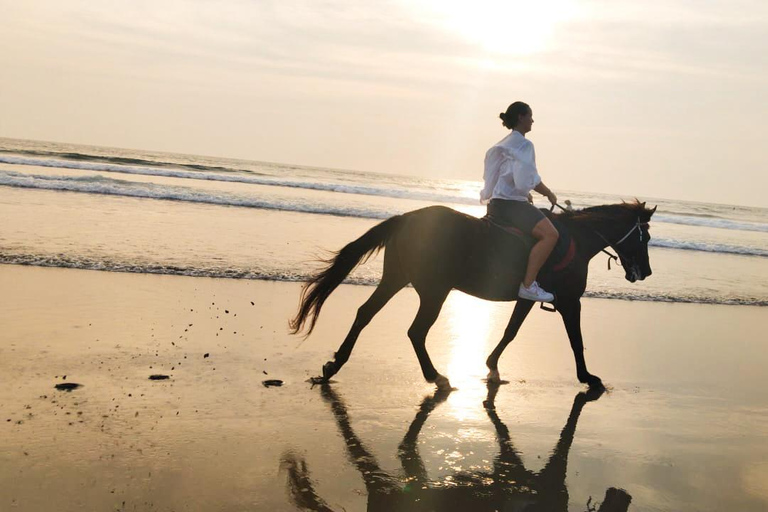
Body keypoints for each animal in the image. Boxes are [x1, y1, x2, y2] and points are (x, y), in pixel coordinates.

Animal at [290, 200, 656, 390]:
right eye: (646, 237)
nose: (646, 272)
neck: (578, 240)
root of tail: (405, 219)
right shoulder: (569, 302)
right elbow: (576, 341)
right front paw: (588, 378)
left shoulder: (527, 299)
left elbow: (510, 332)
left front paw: (492, 366)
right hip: (434, 290)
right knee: (415, 331)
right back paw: (436, 377)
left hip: (396, 278)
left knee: (365, 313)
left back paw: (334, 365)